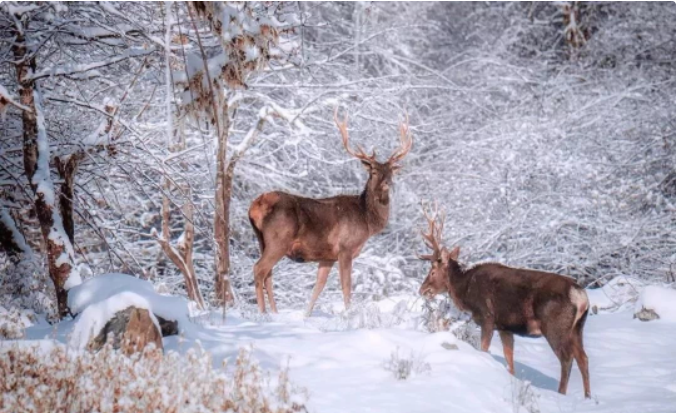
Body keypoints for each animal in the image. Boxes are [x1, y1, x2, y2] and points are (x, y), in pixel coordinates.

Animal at [248, 108, 412, 314]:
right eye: (373, 171)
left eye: (390, 171)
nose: (387, 183)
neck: (366, 220)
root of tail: (256, 206)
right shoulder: (345, 248)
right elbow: (346, 286)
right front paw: (348, 314)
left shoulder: (327, 256)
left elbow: (318, 287)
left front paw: (306, 315)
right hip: (279, 239)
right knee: (259, 269)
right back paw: (263, 314)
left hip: (262, 240)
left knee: (268, 274)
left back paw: (275, 313)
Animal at [418, 203, 592, 396]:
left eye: (433, 270)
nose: (422, 290)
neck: (466, 291)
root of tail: (580, 296)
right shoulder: (505, 327)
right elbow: (510, 361)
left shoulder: (487, 317)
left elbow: (484, 349)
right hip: (577, 328)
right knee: (583, 358)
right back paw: (588, 397)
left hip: (555, 326)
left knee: (567, 358)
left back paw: (561, 393)